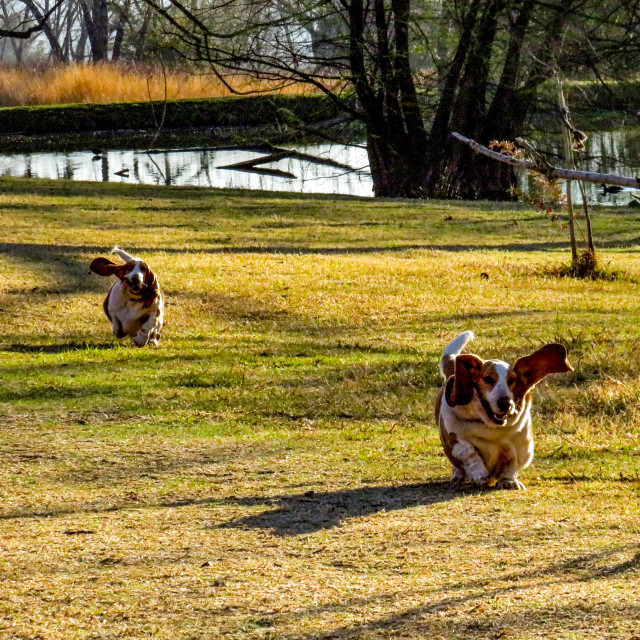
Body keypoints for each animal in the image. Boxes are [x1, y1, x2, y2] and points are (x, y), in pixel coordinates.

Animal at [438, 330, 572, 490]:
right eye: (488, 379)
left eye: (511, 381)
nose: (505, 403)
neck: (490, 428)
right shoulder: (454, 437)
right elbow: (469, 453)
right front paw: (479, 474)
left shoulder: (518, 448)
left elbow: (509, 465)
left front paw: (509, 481)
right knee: (459, 465)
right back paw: (458, 475)